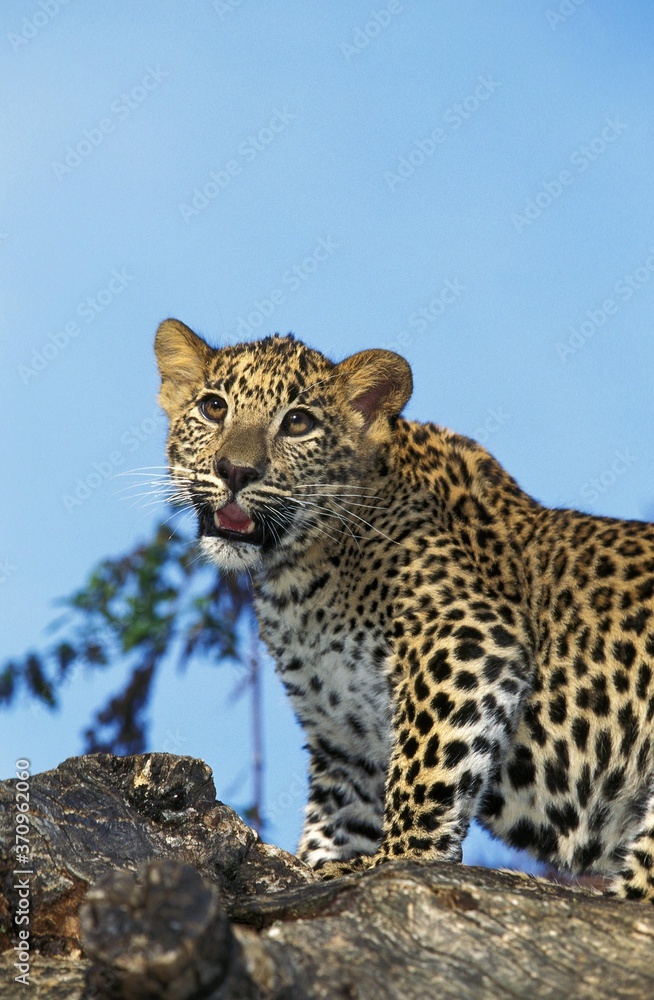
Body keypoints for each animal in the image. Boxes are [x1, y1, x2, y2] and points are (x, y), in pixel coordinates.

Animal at [155, 317, 654, 902]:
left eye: (298, 422)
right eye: (213, 408)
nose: (234, 471)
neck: (302, 577)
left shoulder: (467, 640)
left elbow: (426, 769)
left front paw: (399, 861)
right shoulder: (344, 743)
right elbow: (337, 818)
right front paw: (324, 864)